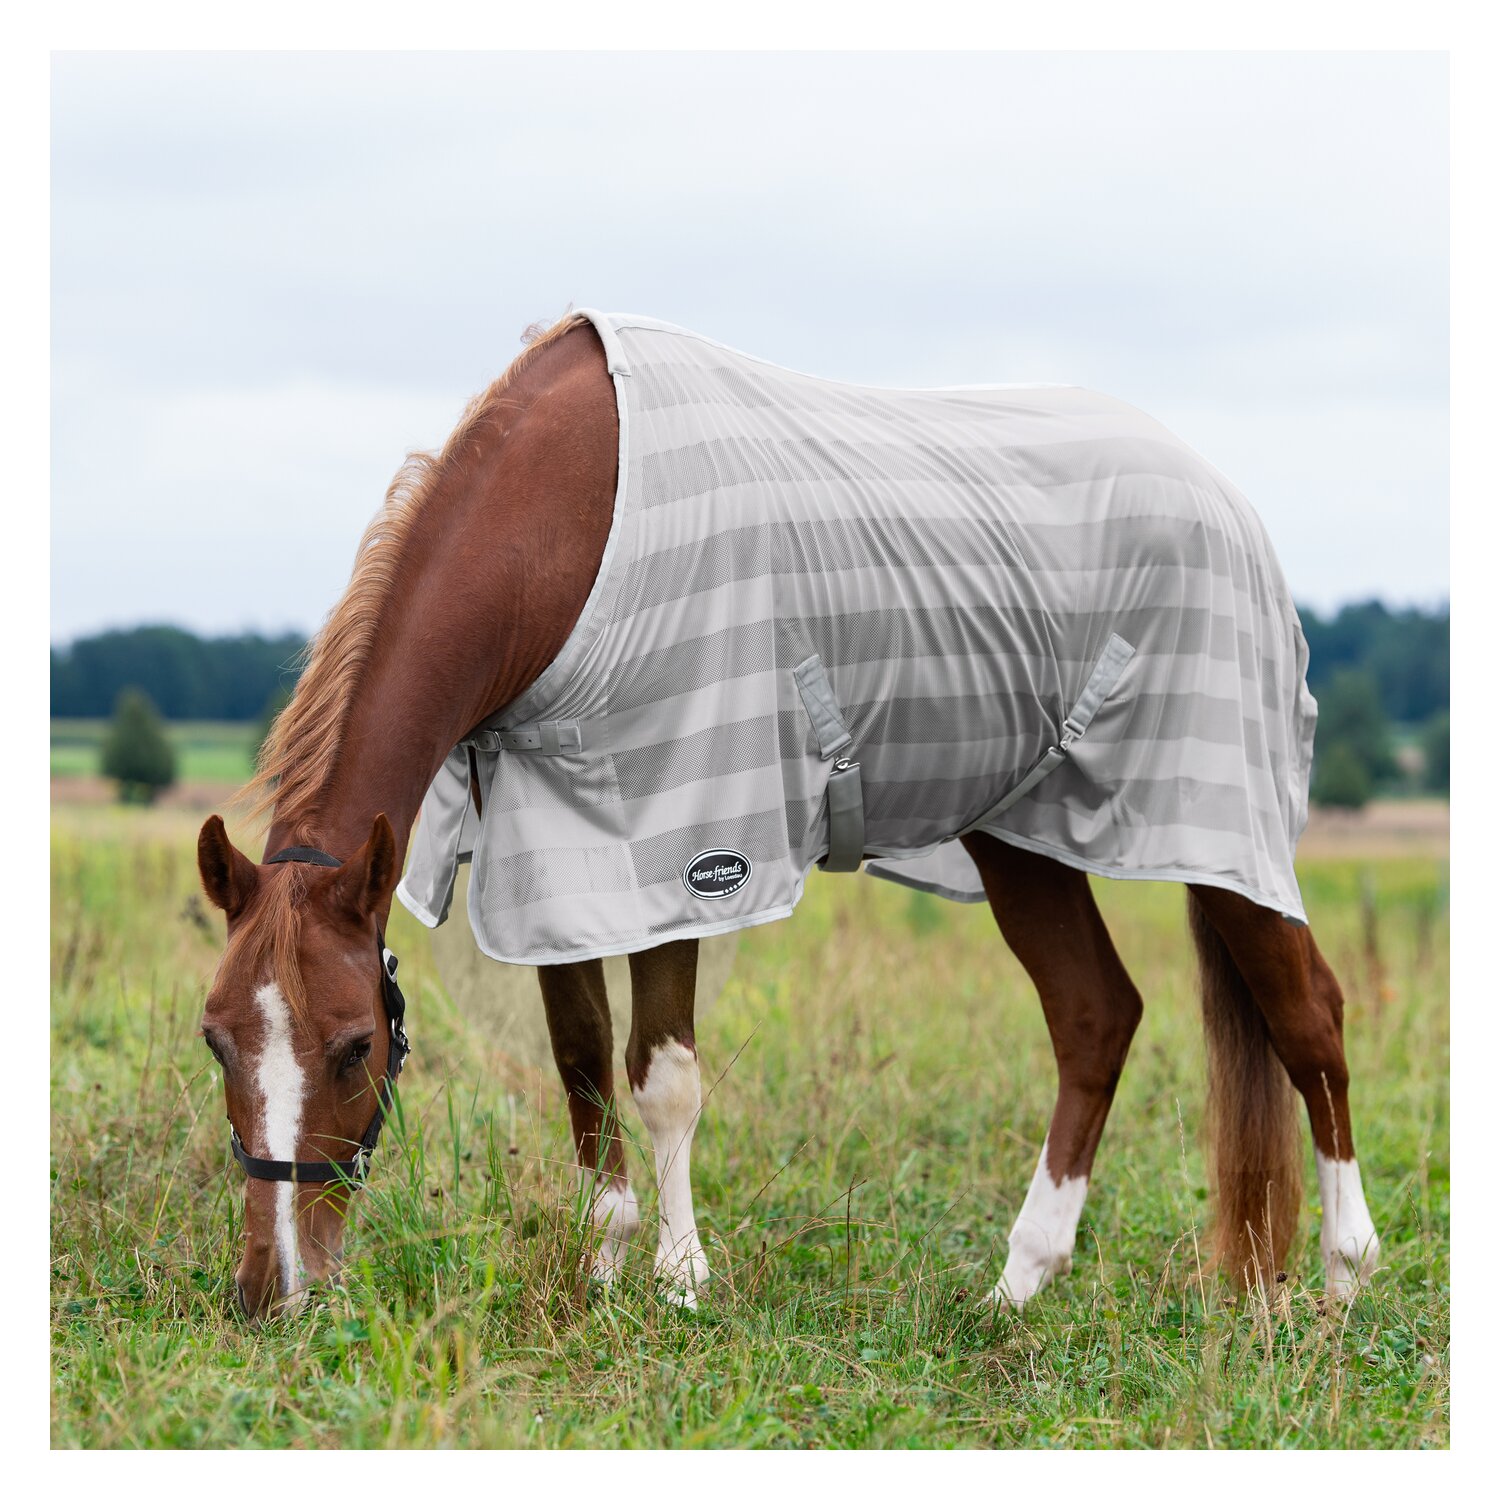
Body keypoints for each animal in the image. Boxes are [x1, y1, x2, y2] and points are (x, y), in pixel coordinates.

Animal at [197, 311, 1380, 1320]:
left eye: (354, 1045)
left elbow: (661, 1076)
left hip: (1218, 831)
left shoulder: (683, 843)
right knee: (1096, 1017)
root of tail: (1227, 500)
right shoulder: (549, 850)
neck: (571, 523)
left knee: (1308, 1016)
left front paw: (680, 1278)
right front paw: (606, 1260)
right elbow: (581, 1059)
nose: (271, 1289)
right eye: (215, 1041)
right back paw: (1018, 1285)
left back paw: (1341, 1278)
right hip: (1024, 838)